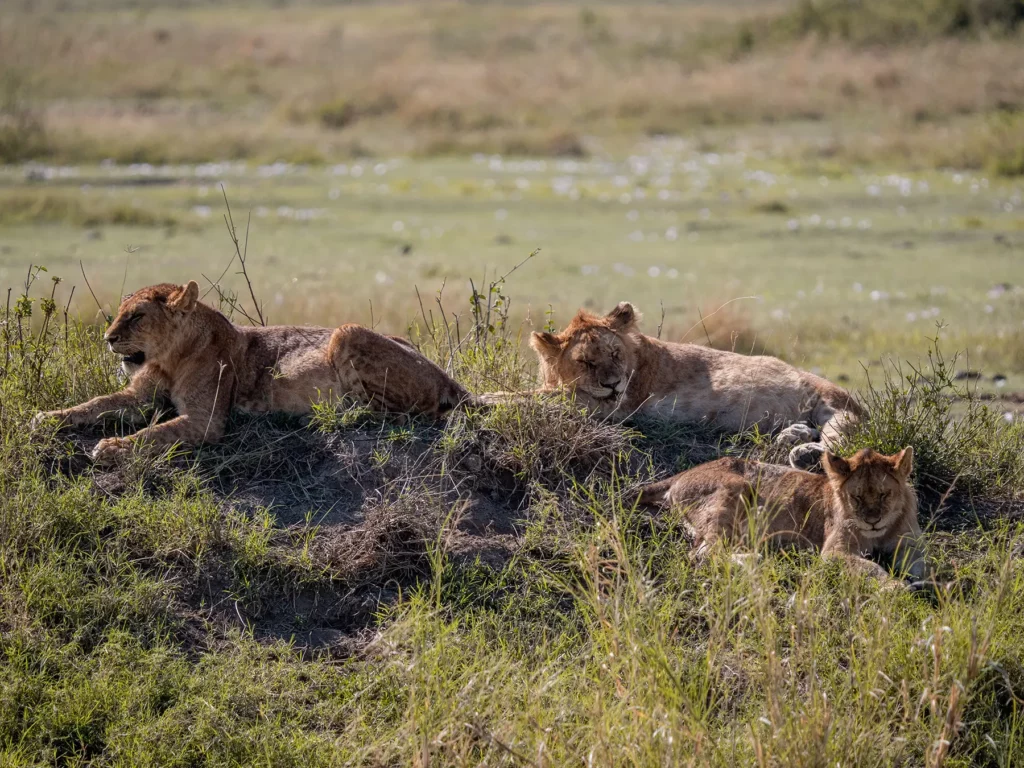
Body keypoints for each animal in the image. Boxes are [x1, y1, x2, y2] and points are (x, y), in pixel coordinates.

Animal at [31, 281, 470, 463]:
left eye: (136, 316)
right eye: (119, 314)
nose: (107, 338)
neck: (169, 357)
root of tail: (445, 375)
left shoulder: (205, 420)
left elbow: (153, 434)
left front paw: (111, 447)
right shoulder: (138, 396)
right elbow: (93, 403)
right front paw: (46, 417)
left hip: (348, 332)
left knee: (400, 413)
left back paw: (326, 415)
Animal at [520, 302, 864, 466]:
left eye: (615, 354)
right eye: (586, 362)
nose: (614, 385)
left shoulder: (621, 407)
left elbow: (544, 396)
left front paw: (505, 396)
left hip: (835, 408)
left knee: (839, 441)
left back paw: (806, 454)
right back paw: (793, 436)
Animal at [636, 447, 925, 583]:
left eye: (884, 494)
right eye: (856, 497)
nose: (872, 520)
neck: (880, 534)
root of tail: (680, 475)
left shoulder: (910, 545)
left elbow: (923, 565)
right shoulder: (834, 552)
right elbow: (872, 568)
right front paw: (895, 586)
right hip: (736, 487)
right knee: (704, 553)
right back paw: (759, 559)